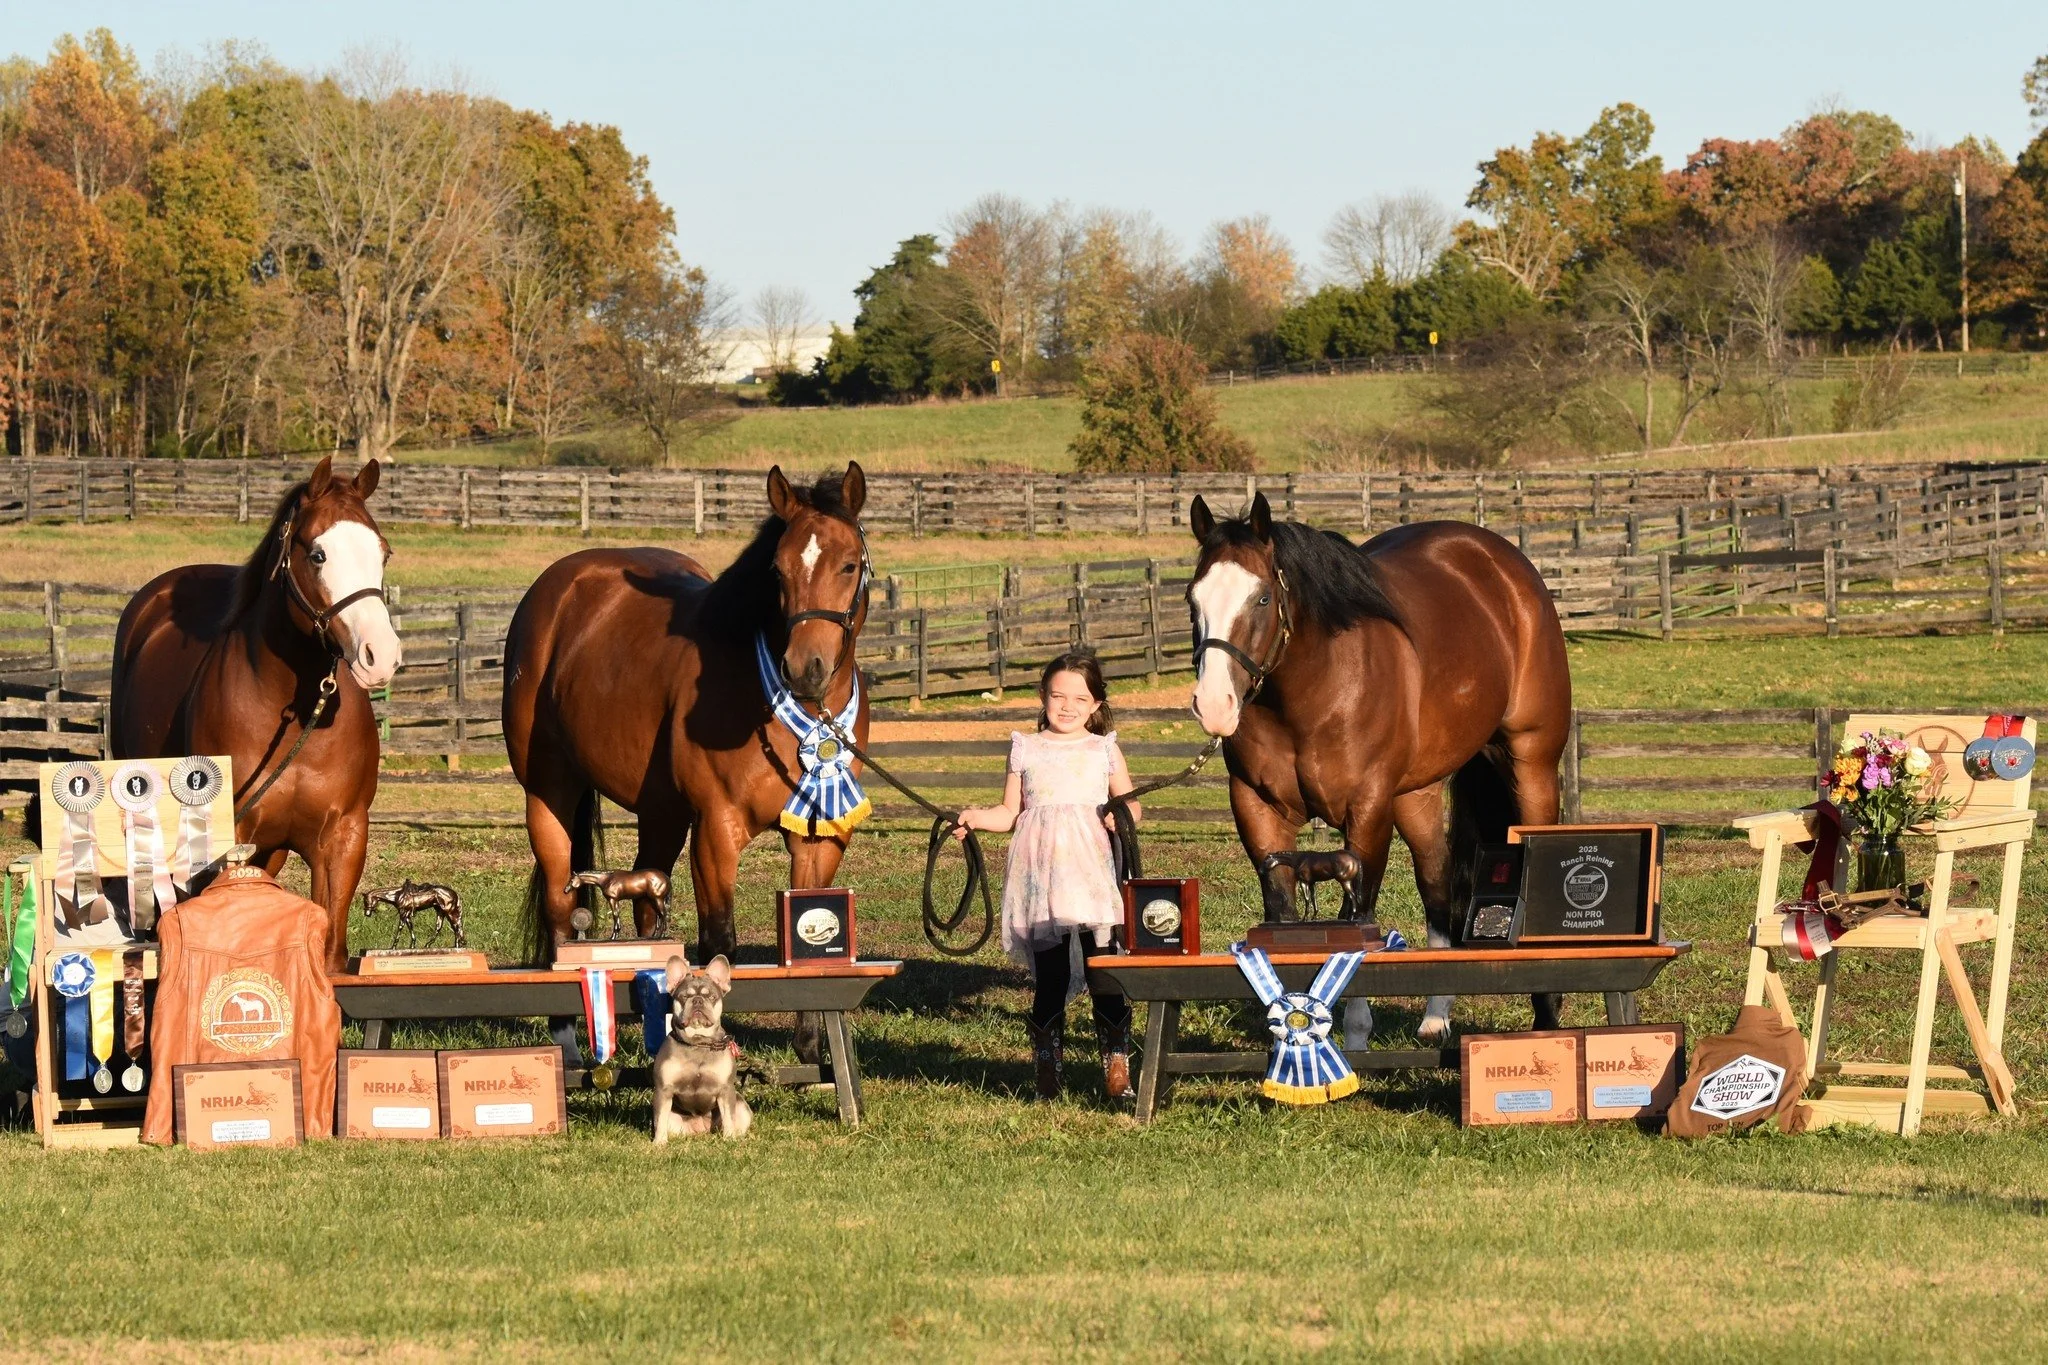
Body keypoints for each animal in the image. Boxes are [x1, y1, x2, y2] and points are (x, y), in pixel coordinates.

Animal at [111, 456, 400, 974]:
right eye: (318, 555)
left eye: (382, 553)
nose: (380, 655)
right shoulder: (227, 836)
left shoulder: (343, 836)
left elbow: (328, 951)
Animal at [502, 462, 872, 984]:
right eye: (777, 570)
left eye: (849, 565)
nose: (805, 668)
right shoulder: (716, 831)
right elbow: (719, 944)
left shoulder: (819, 841)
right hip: (548, 792)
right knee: (561, 907)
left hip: (661, 812)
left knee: (645, 905)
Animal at [1185, 492, 1572, 1041]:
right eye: (1192, 599)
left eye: (1261, 598)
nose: (1214, 704)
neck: (1313, 691)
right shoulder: (1258, 810)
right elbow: (1282, 912)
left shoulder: (1366, 811)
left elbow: (1357, 916)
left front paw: (1353, 1031)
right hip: (1415, 795)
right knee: (1437, 887)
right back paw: (1435, 1018)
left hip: (1531, 765)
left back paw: (1546, 1015)